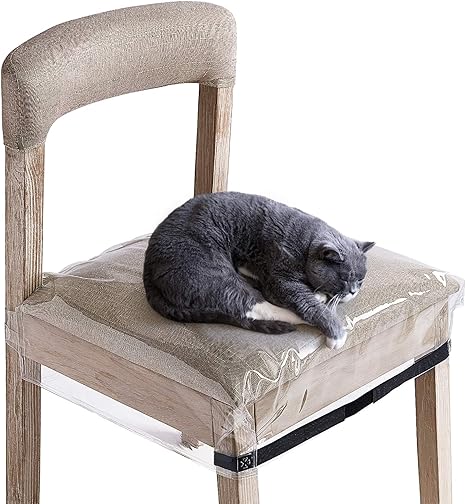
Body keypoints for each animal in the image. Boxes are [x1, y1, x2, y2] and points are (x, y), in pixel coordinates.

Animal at [143, 192, 374, 349]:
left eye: (361, 280)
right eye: (344, 278)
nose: (354, 291)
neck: (306, 244)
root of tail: (148, 268)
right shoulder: (281, 278)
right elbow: (306, 304)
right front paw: (336, 333)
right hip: (212, 273)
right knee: (250, 305)